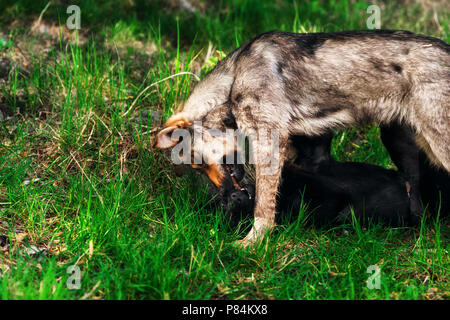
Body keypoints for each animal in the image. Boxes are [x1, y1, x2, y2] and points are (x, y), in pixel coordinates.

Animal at [154, 30, 446, 245]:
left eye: (199, 163)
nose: (225, 194)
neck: (233, 80)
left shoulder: (269, 144)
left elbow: (263, 206)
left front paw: (253, 242)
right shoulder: (304, 149)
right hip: (400, 140)